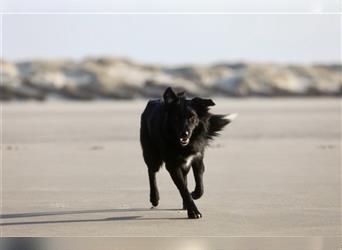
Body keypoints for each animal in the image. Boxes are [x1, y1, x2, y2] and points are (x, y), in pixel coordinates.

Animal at [140, 87, 236, 219]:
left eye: (192, 118)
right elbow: (183, 189)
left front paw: (194, 194)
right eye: (176, 118)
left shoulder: (197, 158)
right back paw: (155, 198)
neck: (183, 145)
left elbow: (200, 186)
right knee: (151, 172)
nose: (184, 134)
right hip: (152, 155)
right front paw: (193, 211)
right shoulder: (173, 166)